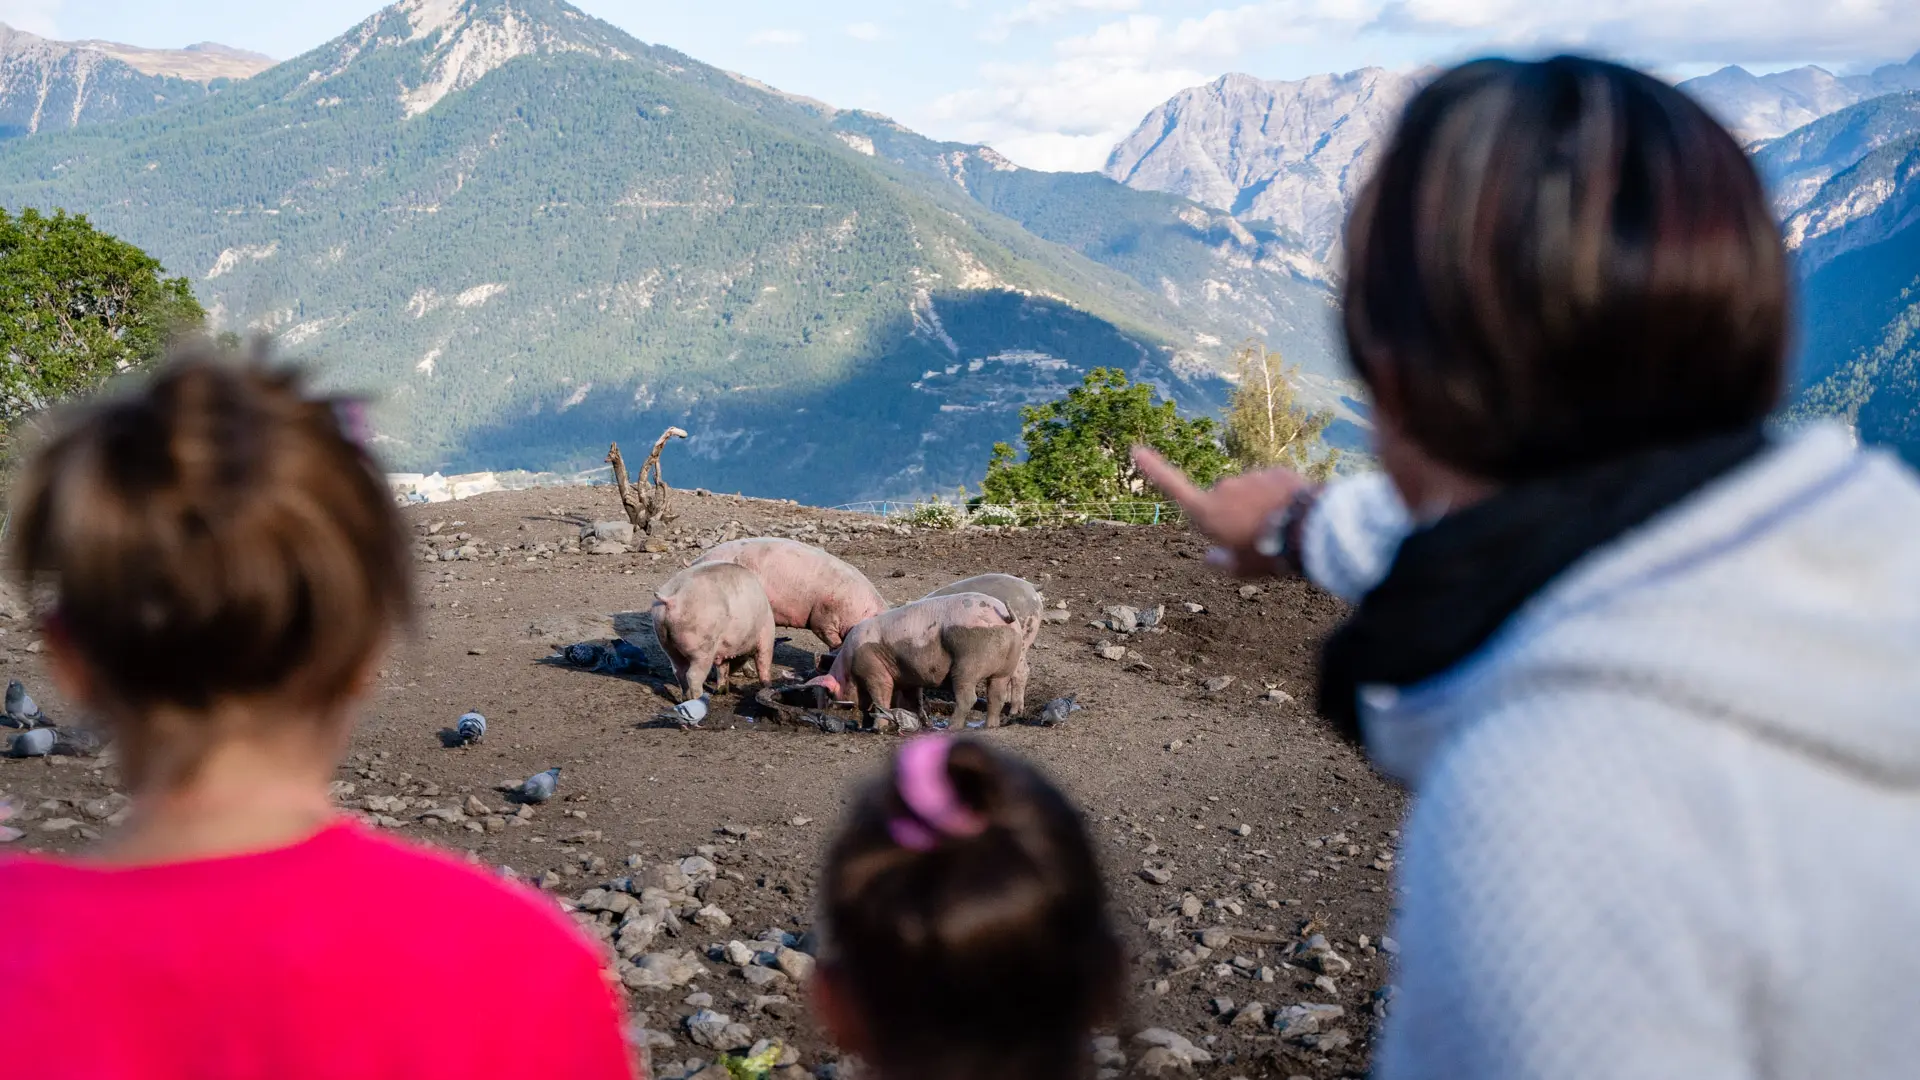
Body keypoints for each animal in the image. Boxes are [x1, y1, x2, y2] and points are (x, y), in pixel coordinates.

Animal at [648, 557, 775, 703]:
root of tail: (672, 599)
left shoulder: (723, 647)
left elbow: (723, 667)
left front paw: (721, 690)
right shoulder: (766, 635)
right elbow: (764, 663)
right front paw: (768, 687)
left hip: (666, 642)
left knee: (679, 670)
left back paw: (685, 700)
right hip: (702, 647)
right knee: (693, 675)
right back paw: (699, 699)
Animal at [806, 591, 1029, 726]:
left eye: (831, 695)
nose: (827, 713)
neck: (848, 664)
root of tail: (1003, 616)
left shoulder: (874, 670)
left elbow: (881, 695)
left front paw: (879, 726)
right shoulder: (908, 676)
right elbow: (912, 700)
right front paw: (921, 722)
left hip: (968, 662)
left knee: (969, 698)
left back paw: (952, 728)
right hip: (1005, 665)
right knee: (997, 696)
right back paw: (989, 727)